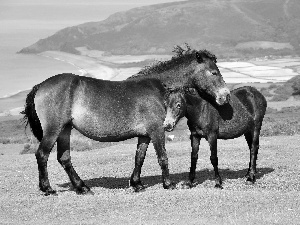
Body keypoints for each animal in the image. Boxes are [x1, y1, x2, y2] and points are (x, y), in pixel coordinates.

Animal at [23, 48, 229, 195]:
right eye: (213, 72)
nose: (225, 96)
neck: (158, 89)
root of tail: (41, 85)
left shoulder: (145, 135)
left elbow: (139, 157)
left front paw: (137, 184)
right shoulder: (157, 130)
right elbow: (162, 157)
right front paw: (168, 184)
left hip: (65, 129)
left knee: (64, 158)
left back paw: (82, 187)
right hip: (54, 130)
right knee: (42, 154)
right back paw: (48, 189)